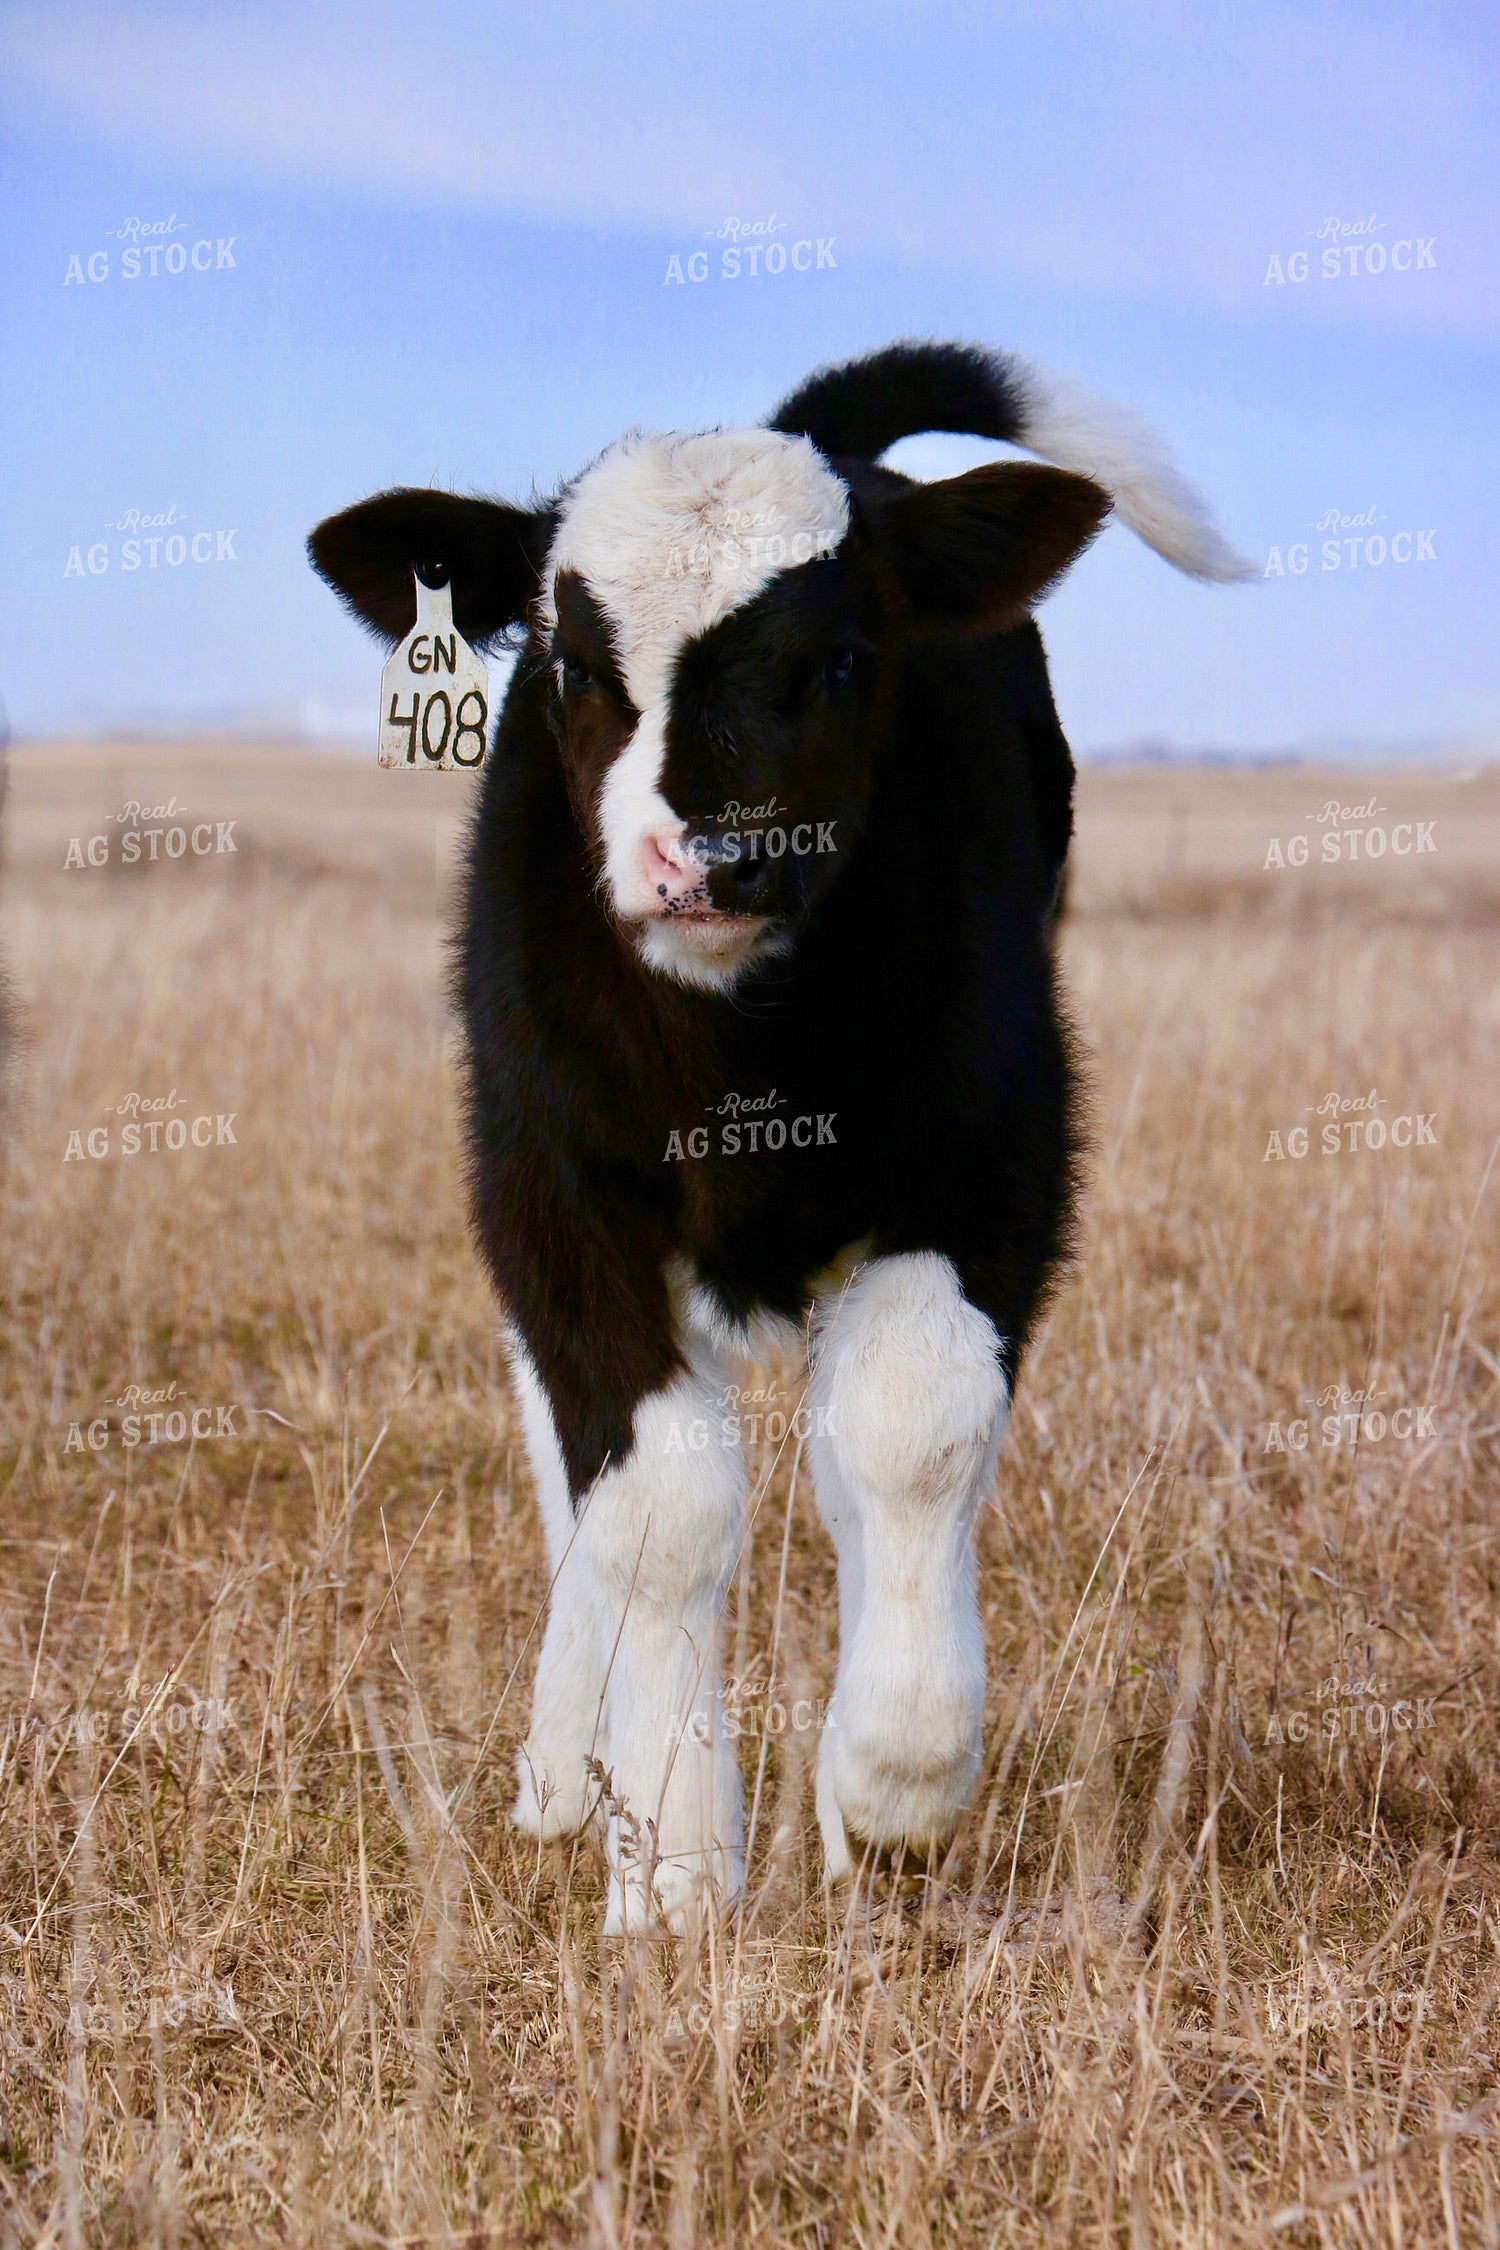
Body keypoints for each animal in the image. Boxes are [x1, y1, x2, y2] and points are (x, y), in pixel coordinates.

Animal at [309, 341, 1245, 1934]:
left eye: (849, 660)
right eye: (571, 663)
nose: (719, 855)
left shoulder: (995, 1153)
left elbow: (911, 1424)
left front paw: (891, 1787)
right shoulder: (553, 1192)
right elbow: (655, 1502)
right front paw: (675, 1856)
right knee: (563, 1453)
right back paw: (566, 1770)